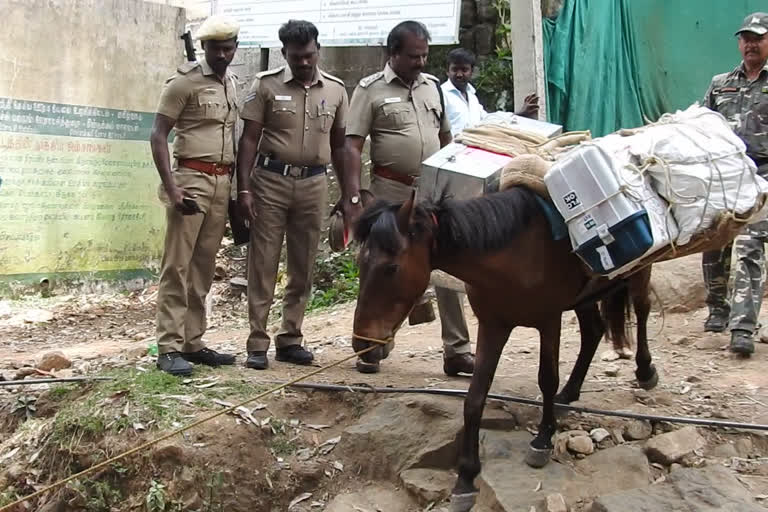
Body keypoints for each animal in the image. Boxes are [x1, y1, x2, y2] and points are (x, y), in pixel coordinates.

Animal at [352, 186, 656, 510]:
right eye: (360, 264)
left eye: (391, 267)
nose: (361, 343)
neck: (514, 252)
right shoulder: (493, 326)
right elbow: (474, 399)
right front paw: (465, 479)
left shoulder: (549, 320)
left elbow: (547, 379)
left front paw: (542, 440)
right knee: (593, 331)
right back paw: (569, 395)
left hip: (641, 268)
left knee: (642, 310)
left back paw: (645, 370)